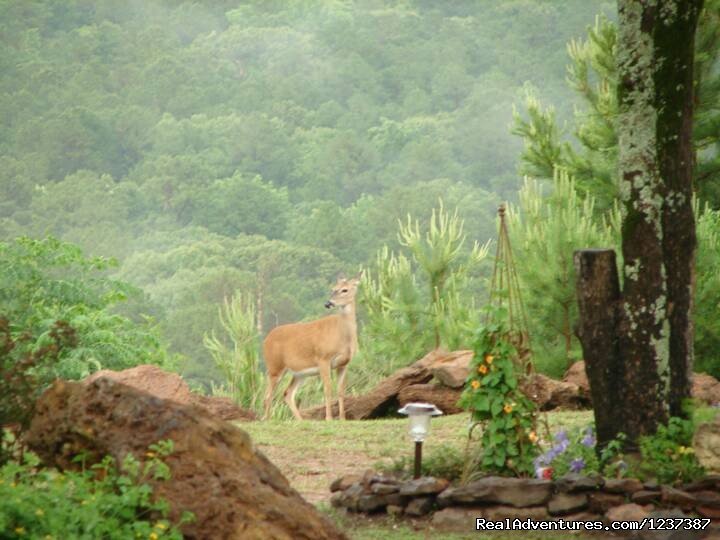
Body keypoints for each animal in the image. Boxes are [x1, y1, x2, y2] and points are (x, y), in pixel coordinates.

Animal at [260, 274, 360, 422]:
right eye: (333, 289)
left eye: (345, 290)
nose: (328, 303)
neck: (342, 337)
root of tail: (265, 340)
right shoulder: (323, 358)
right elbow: (327, 388)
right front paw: (329, 418)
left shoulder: (344, 363)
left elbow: (341, 391)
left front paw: (342, 418)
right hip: (274, 366)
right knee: (268, 396)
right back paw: (267, 420)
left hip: (299, 373)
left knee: (287, 393)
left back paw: (301, 420)